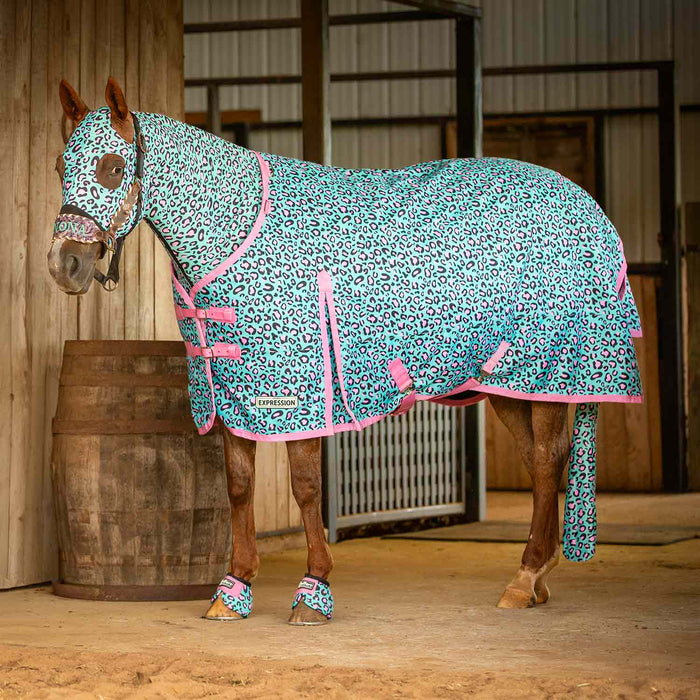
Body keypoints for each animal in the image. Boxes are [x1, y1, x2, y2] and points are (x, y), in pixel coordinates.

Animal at [48, 77, 642, 624]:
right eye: (59, 166)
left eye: (112, 167)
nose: (64, 265)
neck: (238, 231)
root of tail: (590, 209)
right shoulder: (231, 393)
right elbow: (238, 487)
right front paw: (233, 590)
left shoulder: (297, 397)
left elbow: (307, 488)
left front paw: (313, 590)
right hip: (506, 382)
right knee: (540, 461)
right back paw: (536, 578)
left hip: (546, 373)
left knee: (546, 460)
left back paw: (525, 577)